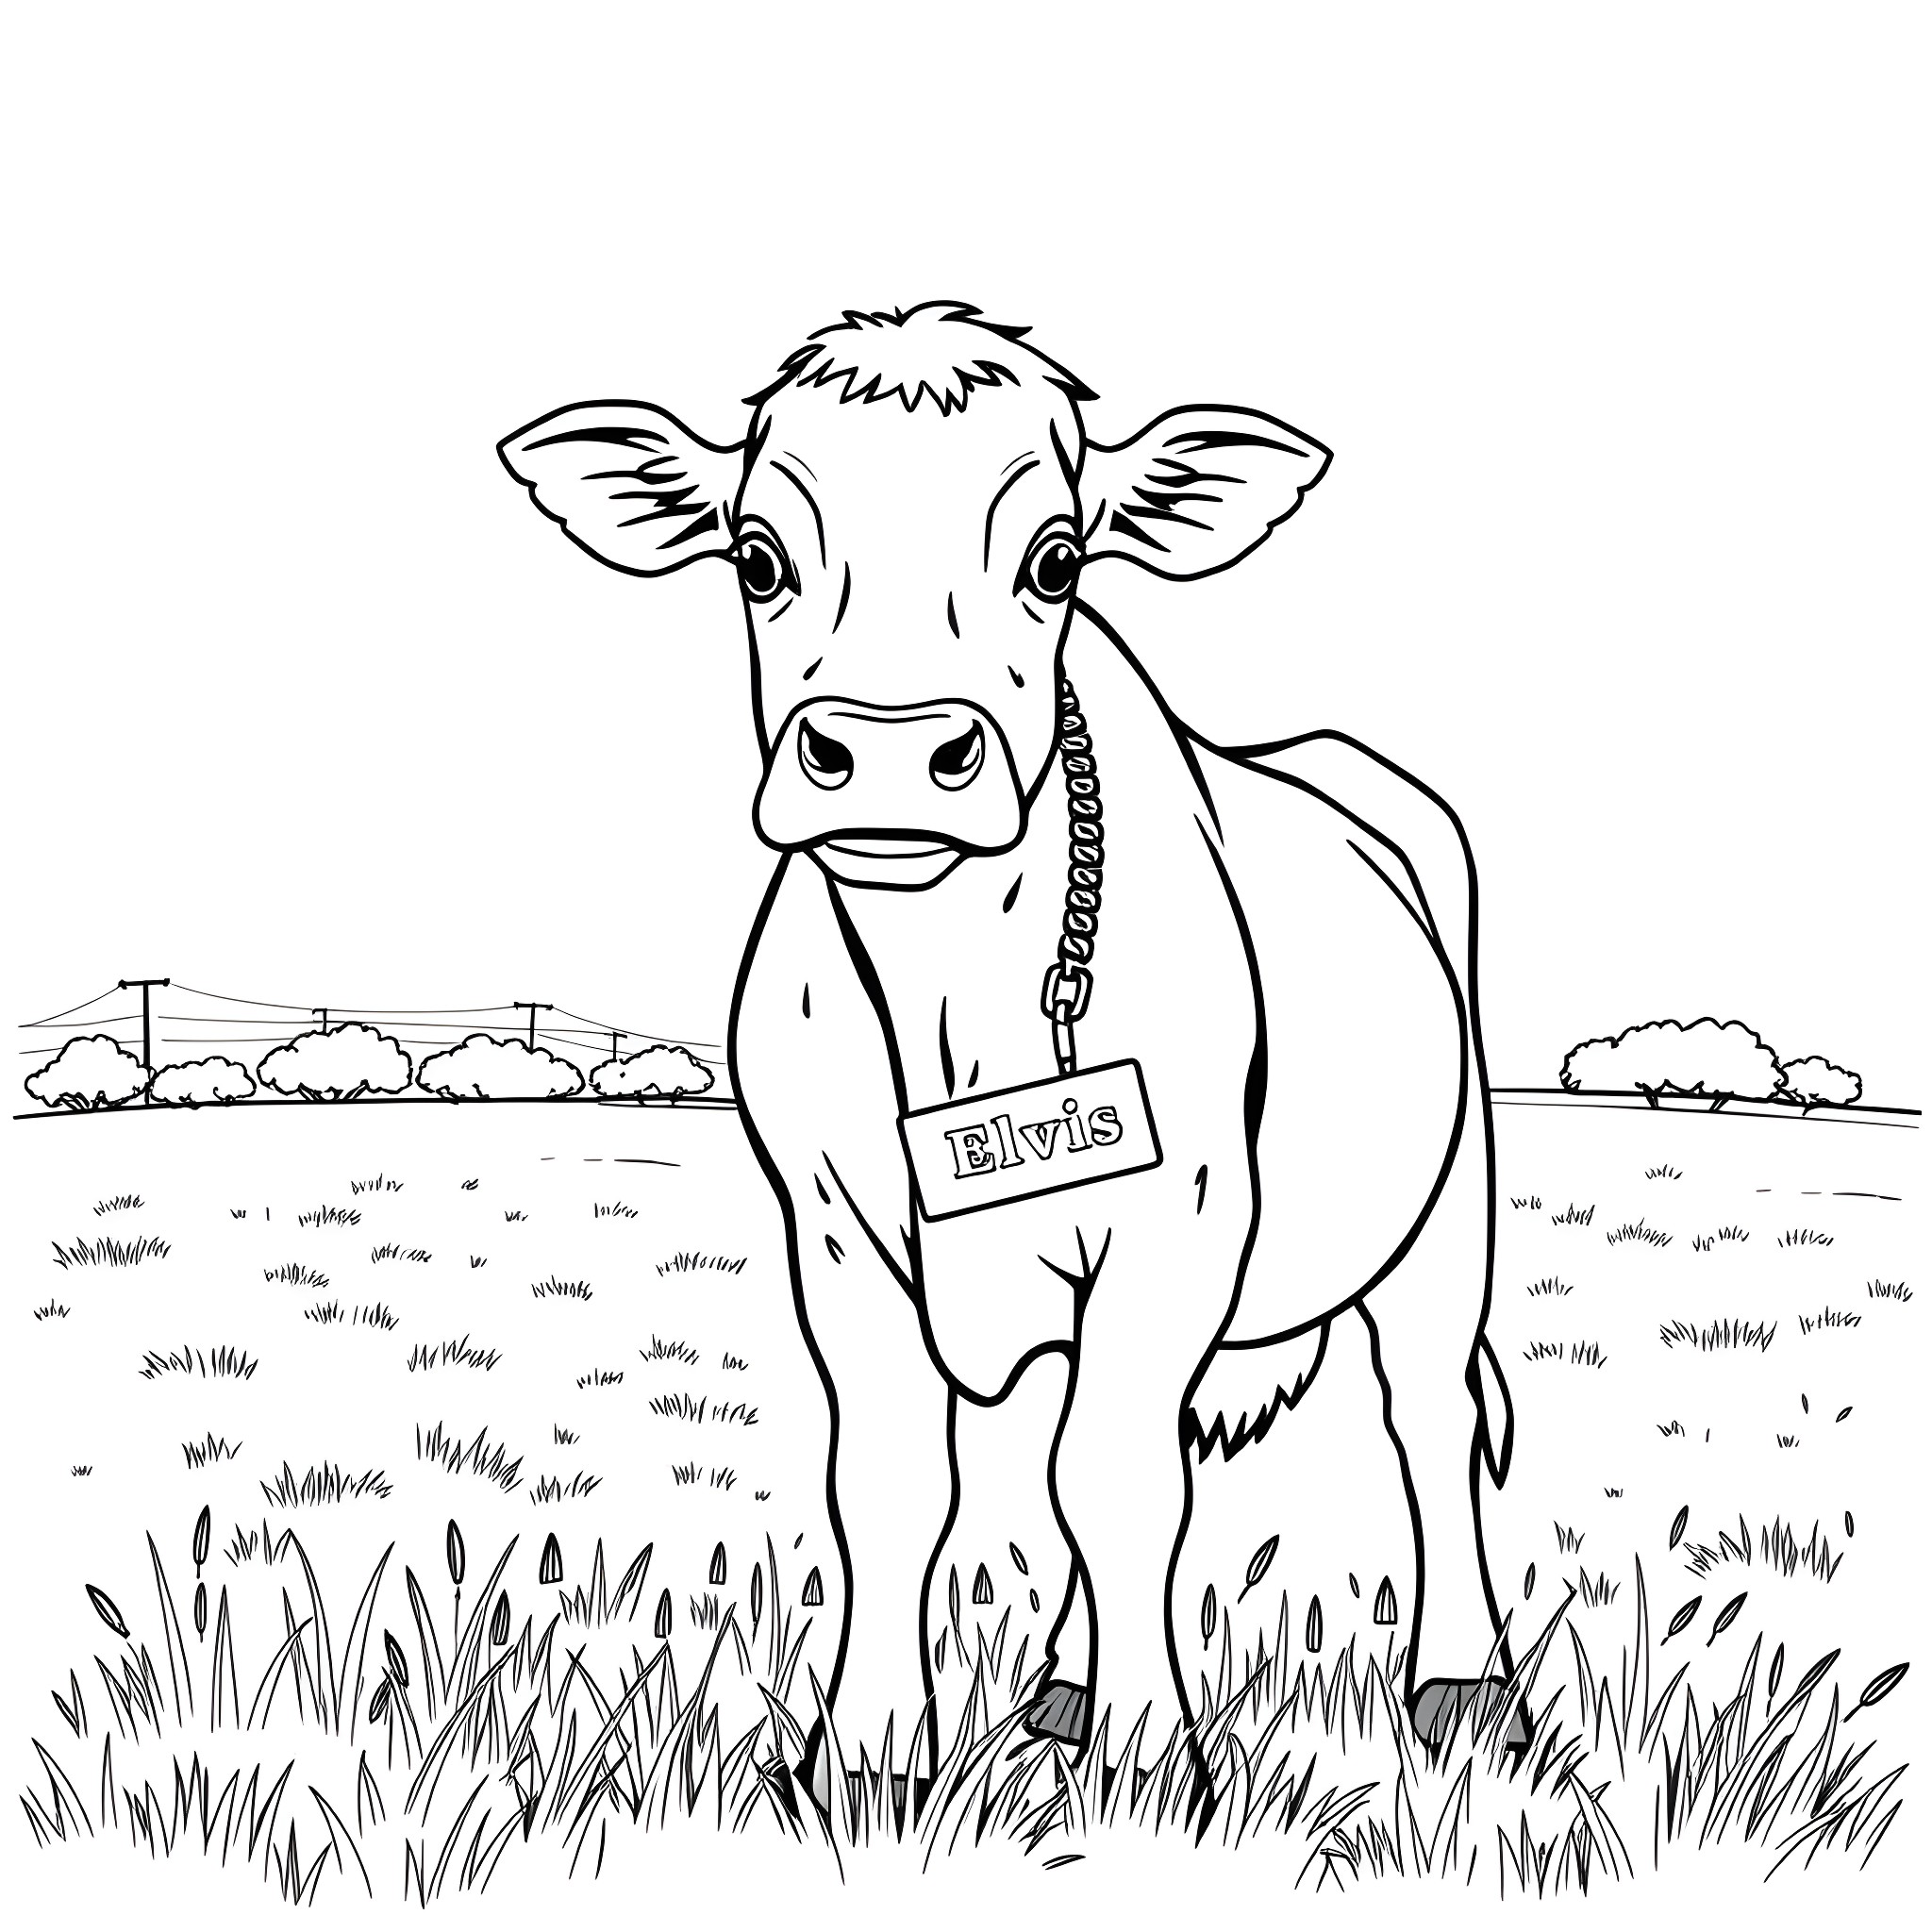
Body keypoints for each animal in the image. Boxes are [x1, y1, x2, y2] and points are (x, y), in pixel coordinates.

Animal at [500, 301, 1522, 1811]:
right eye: (758, 557)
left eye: (1055, 561)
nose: (887, 752)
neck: (949, 1000)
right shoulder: (837, 1233)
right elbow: (891, 1486)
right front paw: (864, 1757)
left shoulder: (1176, 1219)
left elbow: (1118, 1482)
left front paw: (1154, 1765)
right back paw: (1061, 1690)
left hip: (1446, 1218)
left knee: (1430, 1424)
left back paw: (1461, 1683)